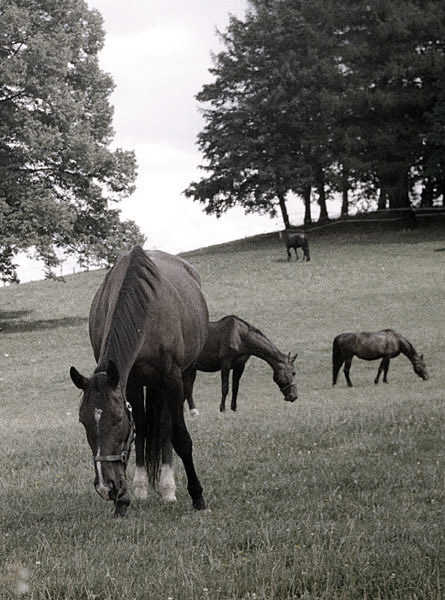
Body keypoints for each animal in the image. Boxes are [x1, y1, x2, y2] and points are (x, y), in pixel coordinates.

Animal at [69, 246, 208, 516]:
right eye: (83, 421)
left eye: (117, 419)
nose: (106, 486)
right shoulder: (129, 381)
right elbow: (140, 428)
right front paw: (125, 498)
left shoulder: (172, 379)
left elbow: (180, 437)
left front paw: (197, 496)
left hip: (180, 376)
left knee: (166, 428)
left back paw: (168, 488)